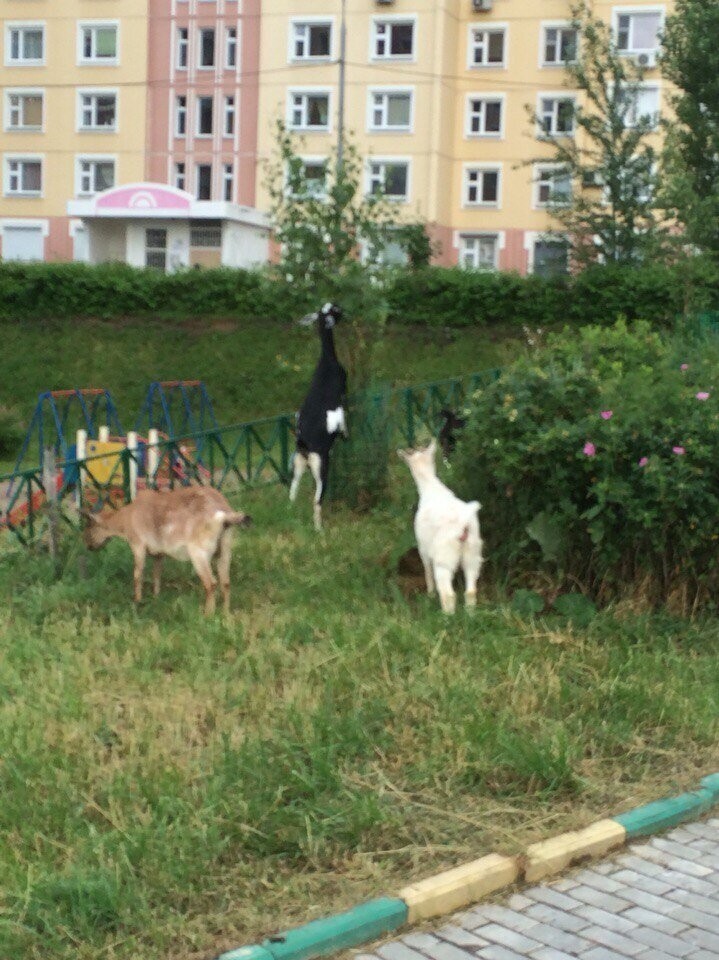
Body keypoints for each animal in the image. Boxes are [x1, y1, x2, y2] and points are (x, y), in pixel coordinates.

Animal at [83, 488, 253, 616]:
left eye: (88, 527)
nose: (89, 546)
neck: (126, 518)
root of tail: (223, 513)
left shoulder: (137, 544)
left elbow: (138, 574)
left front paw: (137, 601)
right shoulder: (159, 553)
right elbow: (157, 574)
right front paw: (156, 597)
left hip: (199, 552)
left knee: (211, 583)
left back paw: (207, 615)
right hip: (225, 548)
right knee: (225, 582)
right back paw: (225, 613)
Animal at [292, 304, 350, 532]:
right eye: (335, 310)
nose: (344, 312)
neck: (327, 362)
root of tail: (304, 443)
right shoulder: (341, 401)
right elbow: (344, 420)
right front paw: (346, 434)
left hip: (298, 463)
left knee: (292, 491)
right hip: (321, 466)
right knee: (317, 500)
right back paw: (319, 530)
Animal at [400, 436, 484, 612]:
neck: (430, 487)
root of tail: (462, 522)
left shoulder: (423, 548)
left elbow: (427, 570)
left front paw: (430, 593)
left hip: (444, 556)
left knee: (448, 593)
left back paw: (446, 615)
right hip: (472, 552)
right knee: (471, 591)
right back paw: (470, 613)